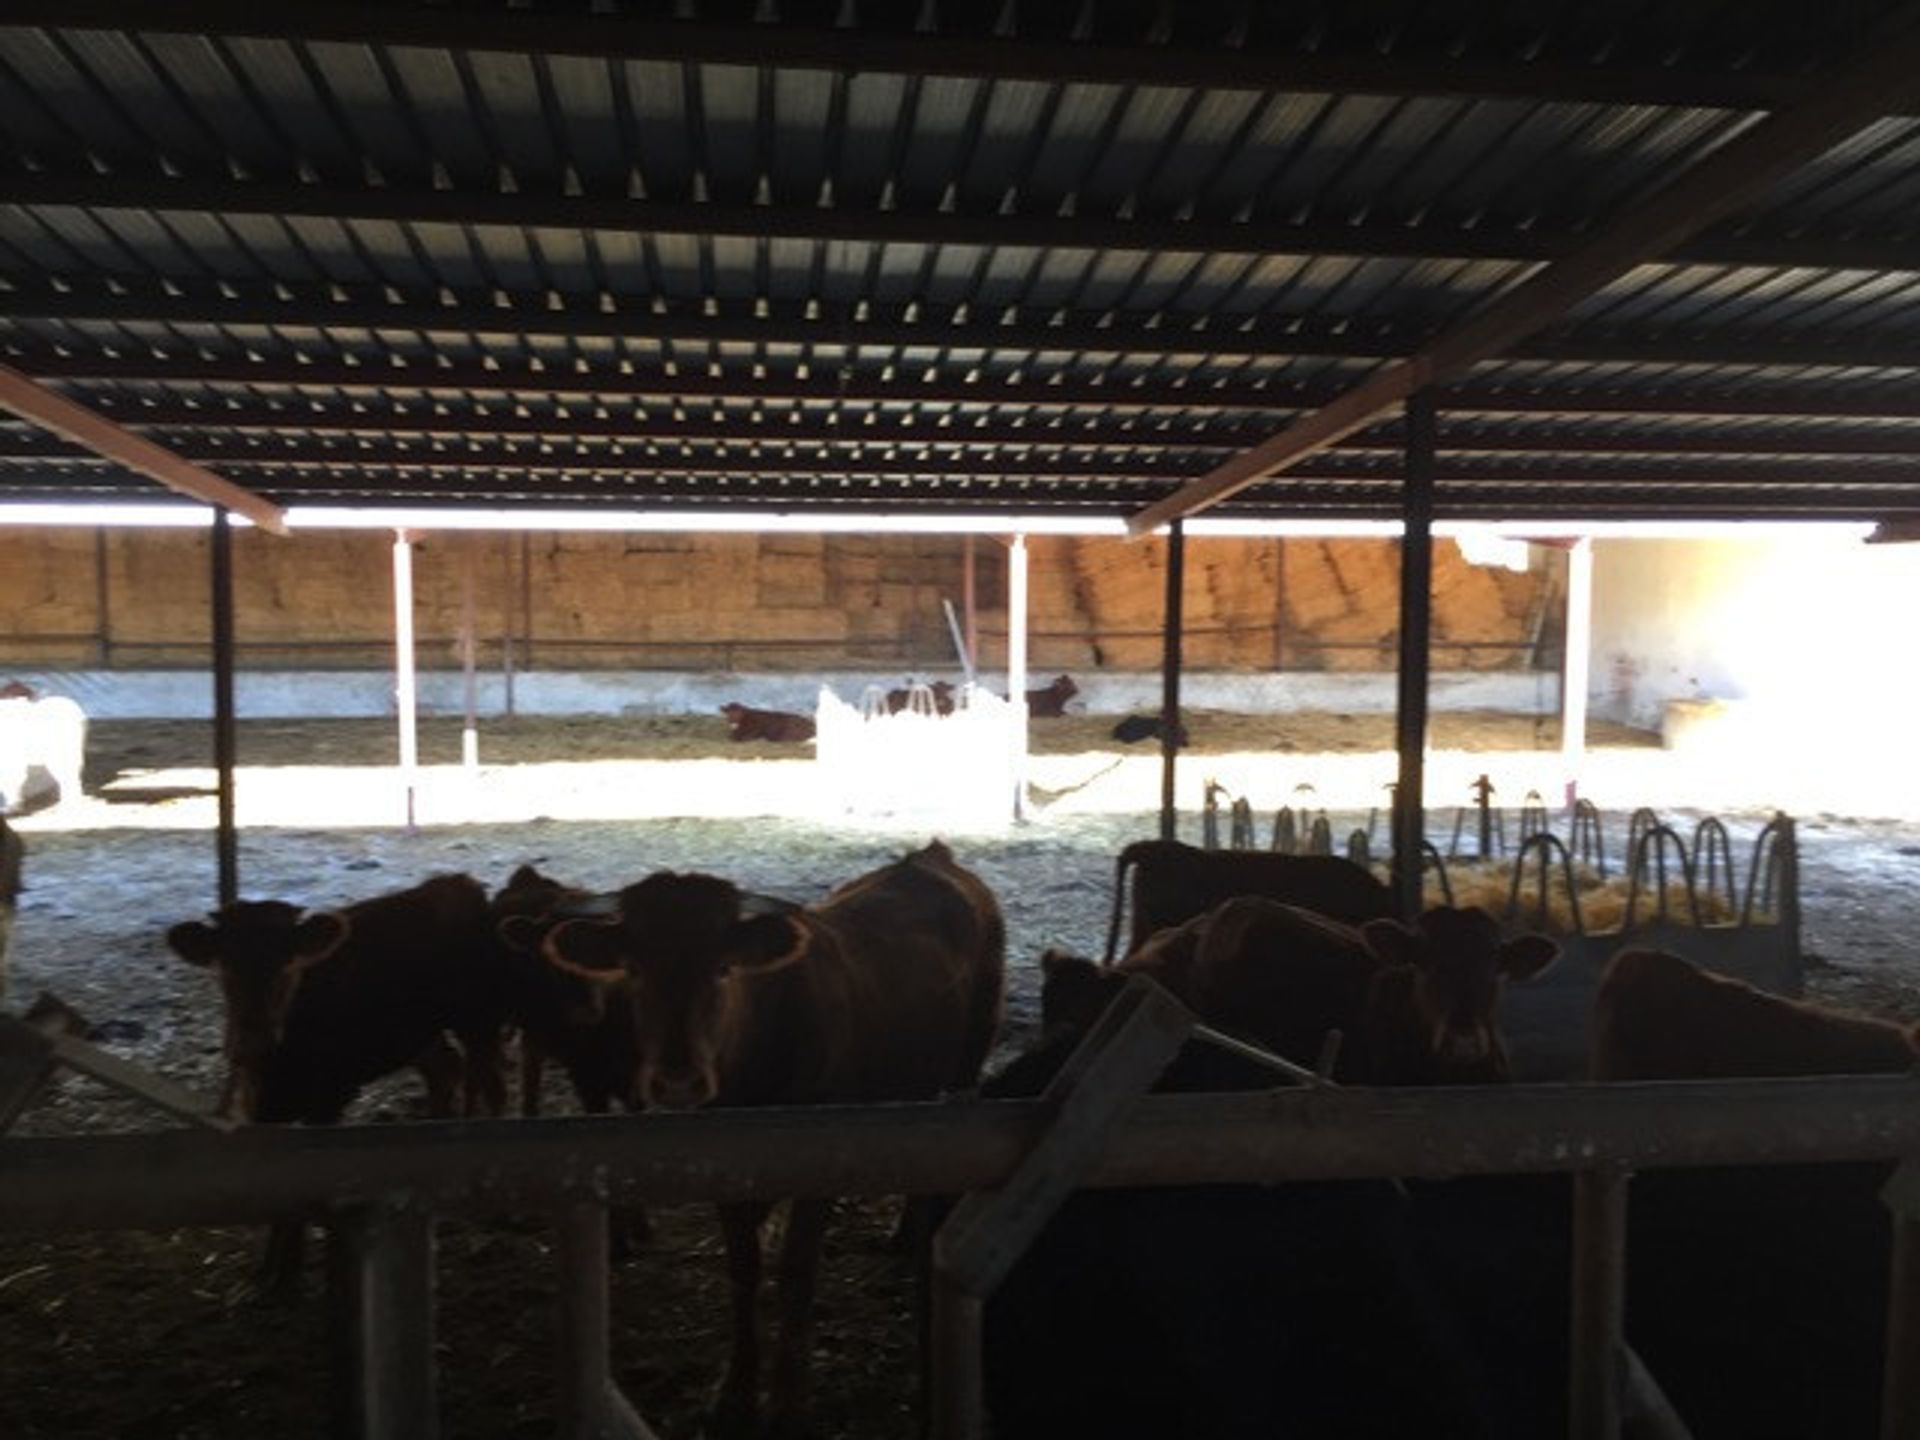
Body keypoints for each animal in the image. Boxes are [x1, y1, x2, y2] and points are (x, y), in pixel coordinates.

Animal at [545, 840, 1006, 1436]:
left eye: (722, 968)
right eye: (633, 969)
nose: (678, 1079)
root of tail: (933, 856)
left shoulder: (821, 1167)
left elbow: (795, 1271)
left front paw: (787, 1397)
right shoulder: (722, 1173)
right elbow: (743, 1268)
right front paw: (736, 1387)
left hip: (968, 1061)